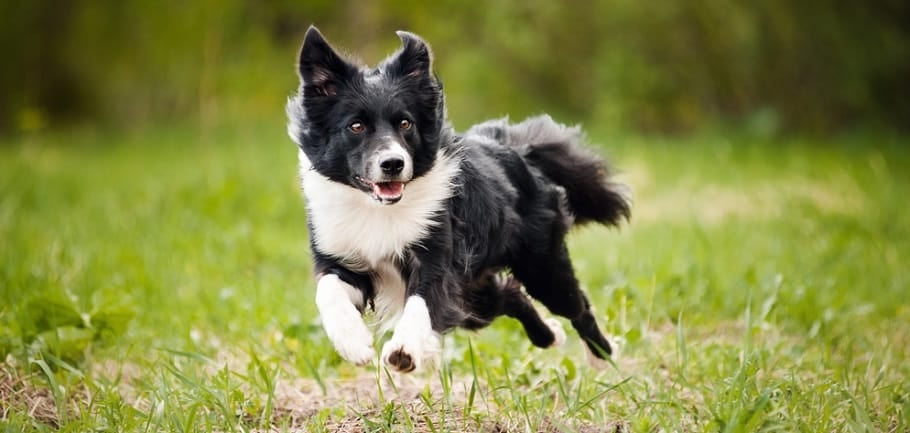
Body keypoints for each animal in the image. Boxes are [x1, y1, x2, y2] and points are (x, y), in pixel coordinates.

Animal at [288, 26, 632, 372]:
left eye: (405, 123)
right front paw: (353, 343)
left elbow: (423, 300)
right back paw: (549, 336)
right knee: (509, 295)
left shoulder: (438, 253)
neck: (378, 209)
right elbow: (328, 290)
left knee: (576, 305)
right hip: (476, 293)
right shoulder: (341, 254)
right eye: (356, 126)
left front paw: (403, 350)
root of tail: (517, 150)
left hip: (541, 266)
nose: (393, 164)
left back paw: (602, 355)